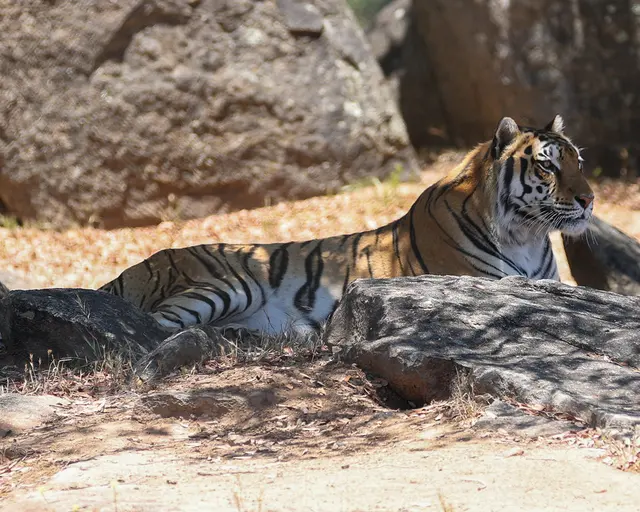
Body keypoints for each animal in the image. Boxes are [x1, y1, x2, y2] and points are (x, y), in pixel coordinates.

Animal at [99, 115, 594, 336]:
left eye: (579, 162)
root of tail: (133, 269)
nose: (590, 201)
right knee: (149, 327)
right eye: (548, 166)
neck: (527, 235)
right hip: (227, 286)